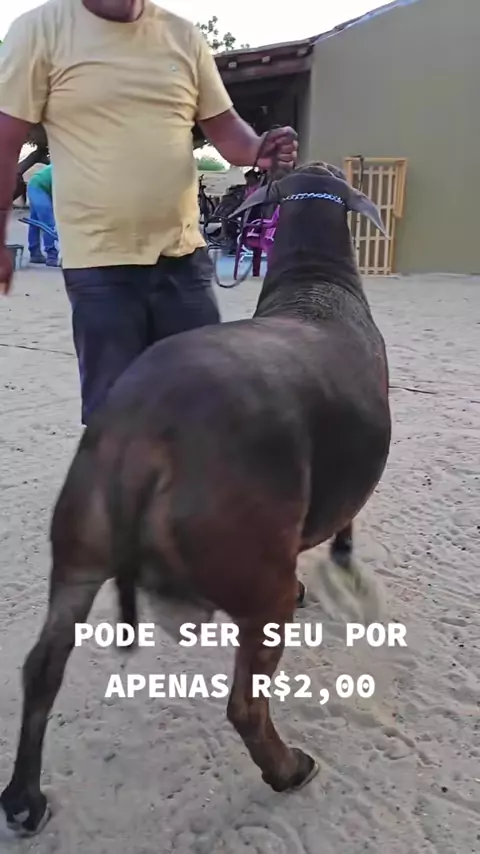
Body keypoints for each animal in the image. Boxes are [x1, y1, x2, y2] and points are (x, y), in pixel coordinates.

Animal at [0, 162, 391, 837]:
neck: (316, 282)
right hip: (258, 590)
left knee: (42, 669)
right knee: (246, 707)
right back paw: (288, 769)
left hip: (77, 556)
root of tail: (141, 429)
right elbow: (346, 526)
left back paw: (24, 799)